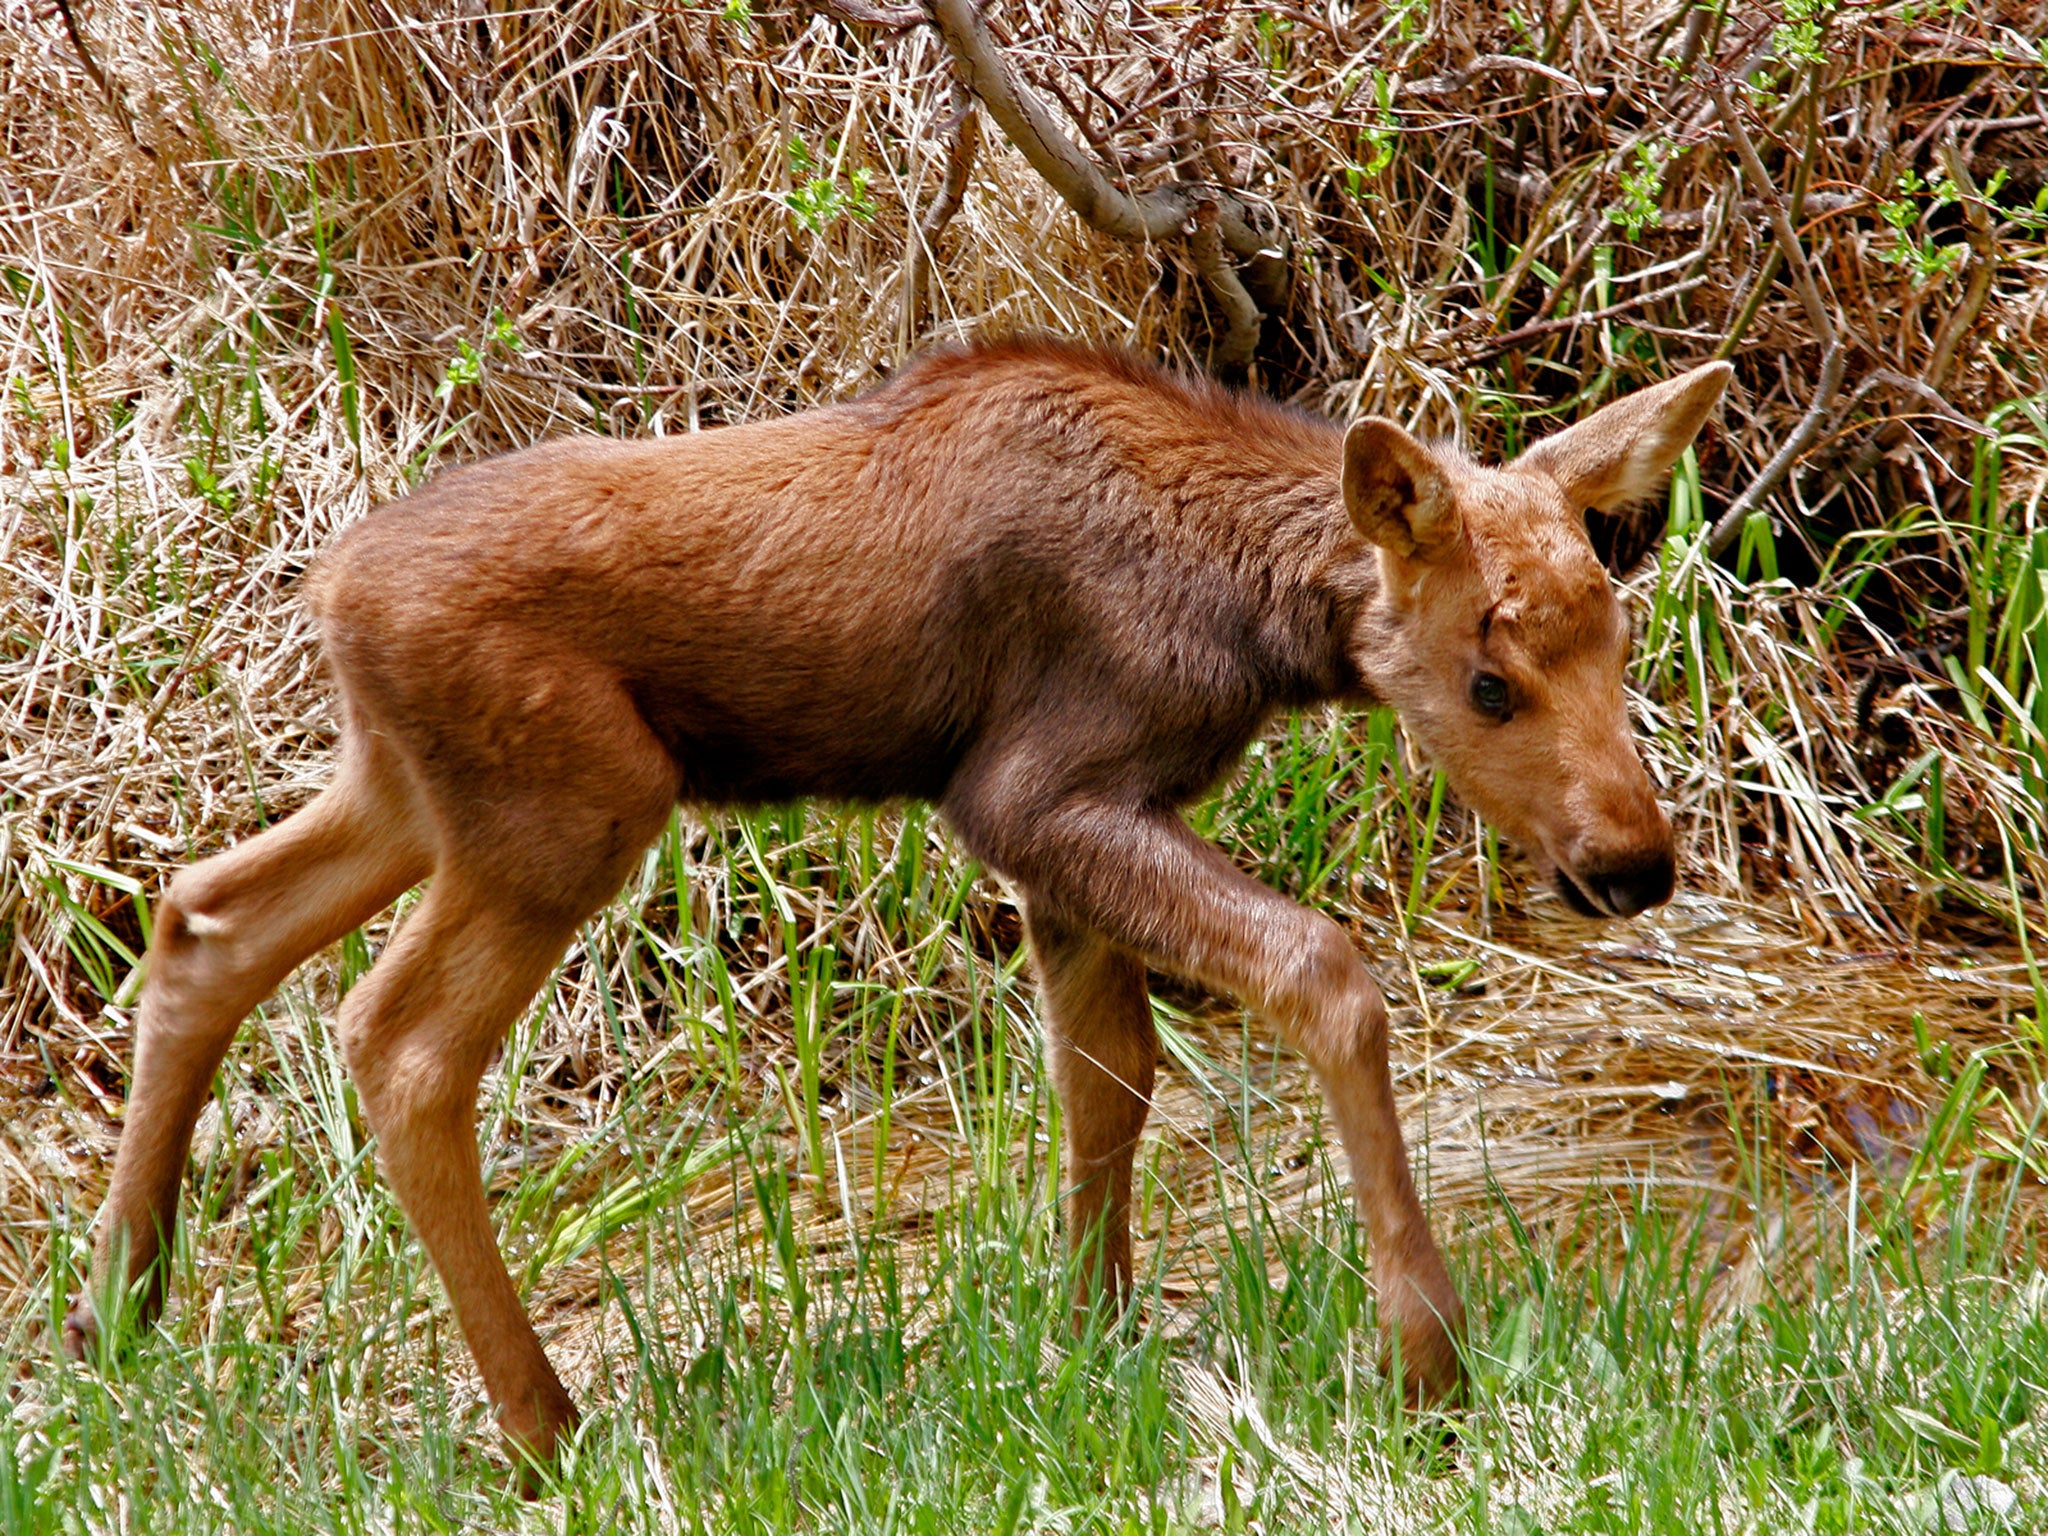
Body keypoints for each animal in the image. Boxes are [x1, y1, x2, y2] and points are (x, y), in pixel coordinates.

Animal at [64, 339, 1732, 1468]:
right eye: (1488, 678)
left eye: (1617, 632)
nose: (1633, 860)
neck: (1257, 622)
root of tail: (326, 591)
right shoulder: (1036, 791)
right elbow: (1318, 970)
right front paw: (1425, 1359)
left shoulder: (1061, 833)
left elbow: (1108, 1078)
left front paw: (1089, 1333)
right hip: (566, 808)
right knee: (397, 1040)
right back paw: (546, 1427)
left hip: (413, 794)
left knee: (204, 915)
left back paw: (119, 1309)